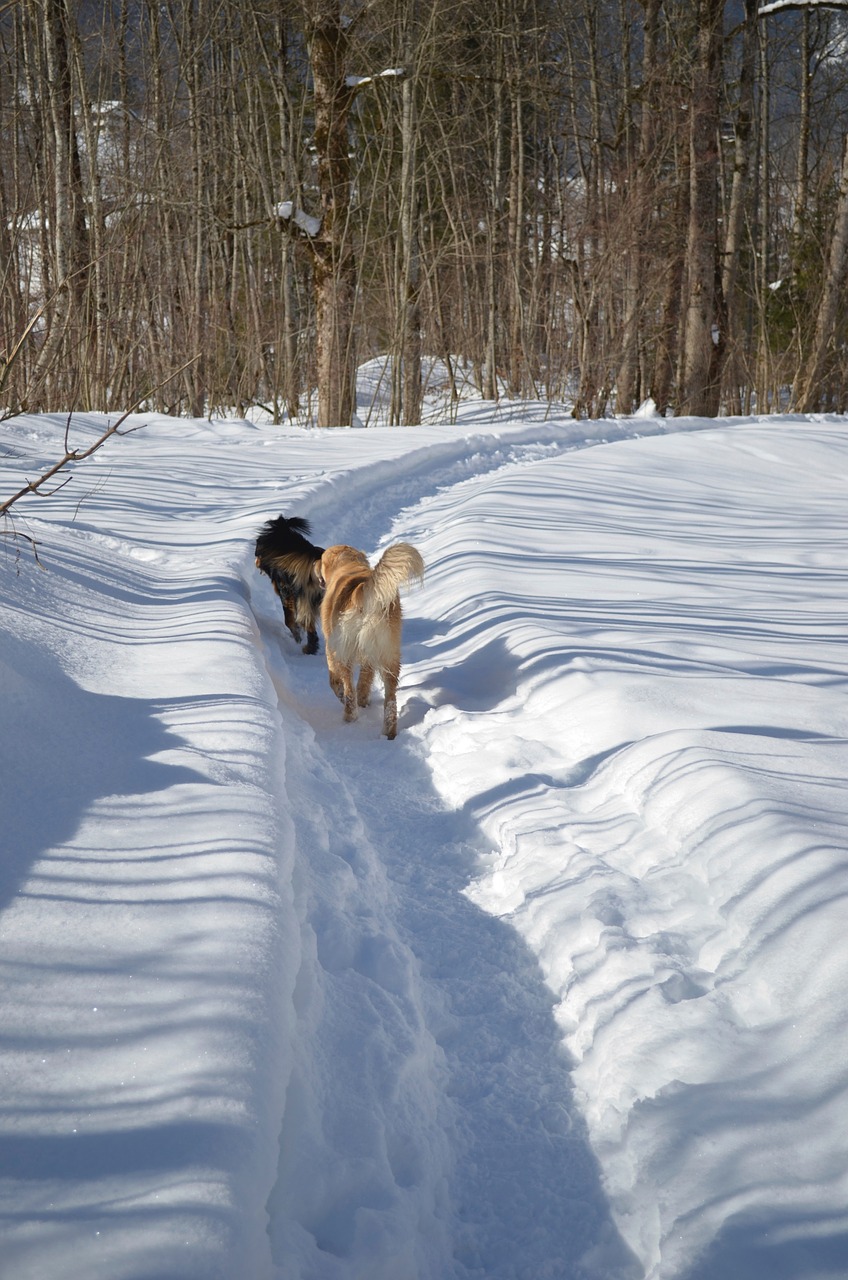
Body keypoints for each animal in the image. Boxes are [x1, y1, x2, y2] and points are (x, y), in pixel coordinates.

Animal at [252, 514, 325, 655]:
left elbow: (289, 619)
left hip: (302, 599)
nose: (256, 561)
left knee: (309, 627)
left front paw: (297, 635)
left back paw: (309, 648)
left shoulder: (286, 591)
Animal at [315, 542, 425, 742]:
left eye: (321, 559)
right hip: (389, 653)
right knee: (390, 700)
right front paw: (364, 699)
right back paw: (389, 731)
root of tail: (361, 589)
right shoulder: (369, 657)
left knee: (349, 690)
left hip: (345, 652)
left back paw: (349, 717)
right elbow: (365, 680)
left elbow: (334, 680)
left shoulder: (331, 646)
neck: (349, 565)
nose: (314, 564)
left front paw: (342, 694)